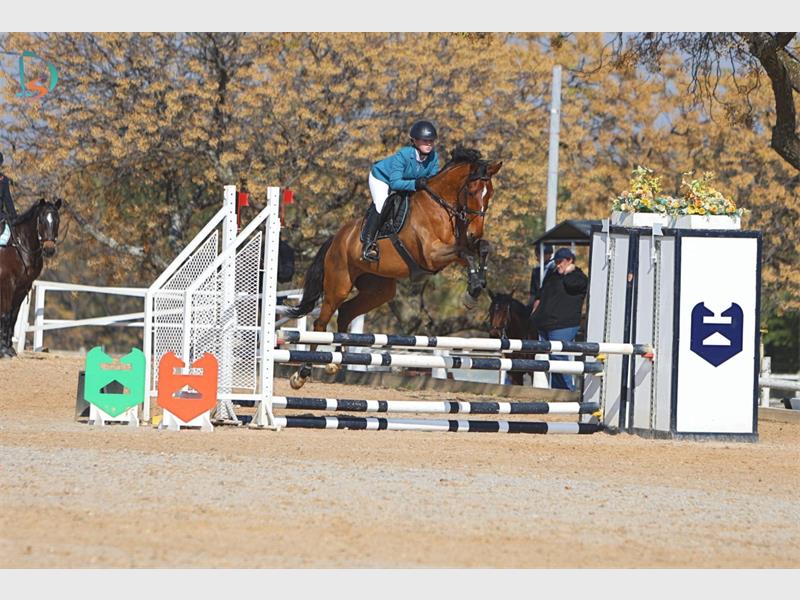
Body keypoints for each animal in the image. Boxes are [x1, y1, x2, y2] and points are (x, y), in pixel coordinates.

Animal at [0, 198, 62, 358]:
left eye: (57, 220)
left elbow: (13, 317)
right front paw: (3, 350)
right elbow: (5, 314)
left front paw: (9, 348)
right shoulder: (7, 285)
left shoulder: (23, 287)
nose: (49, 249)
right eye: (41, 221)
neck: (19, 247)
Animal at [287, 147, 502, 389]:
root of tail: (336, 238)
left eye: (490, 194)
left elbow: (481, 250)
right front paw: (472, 293)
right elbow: (467, 254)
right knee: (321, 324)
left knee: (346, 312)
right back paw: (302, 374)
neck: (440, 206)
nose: (475, 234)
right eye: (472, 191)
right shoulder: (432, 255)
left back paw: (334, 362)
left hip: (379, 290)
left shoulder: (456, 249)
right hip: (338, 284)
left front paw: (476, 288)